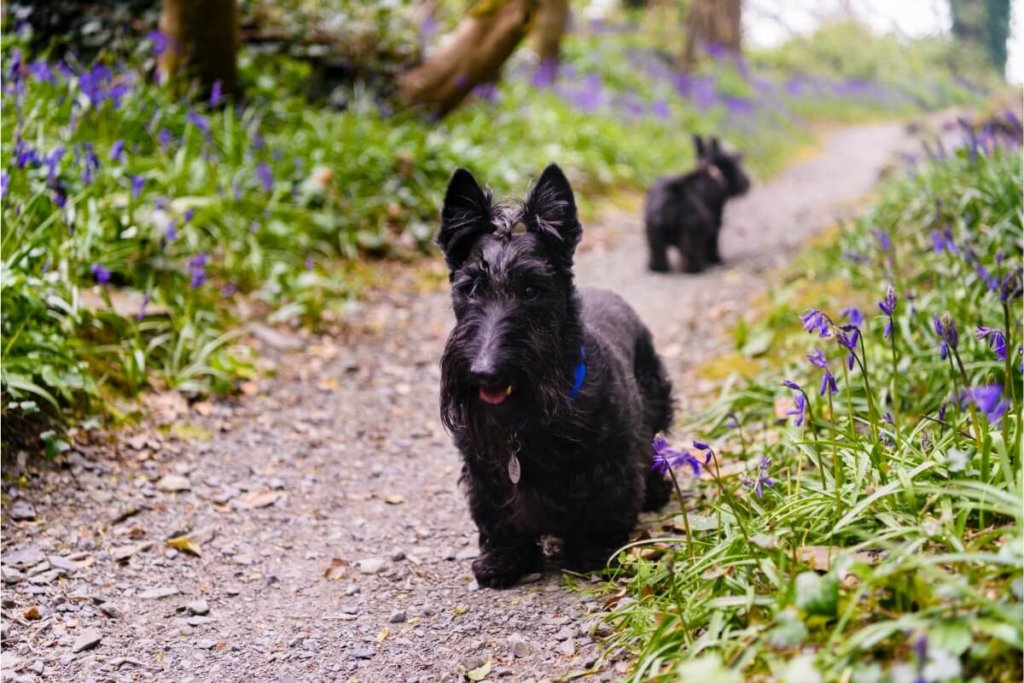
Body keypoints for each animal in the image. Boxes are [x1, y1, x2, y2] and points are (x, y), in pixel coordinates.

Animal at [436, 163, 675, 589]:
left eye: (532, 290)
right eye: (470, 288)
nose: (485, 372)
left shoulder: (610, 462)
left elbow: (604, 509)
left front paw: (594, 553)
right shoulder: (484, 471)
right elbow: (498, 519)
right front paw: (503, 562)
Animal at [643, 133, 749, 272]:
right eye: (735, 162)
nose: (747, 183)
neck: (712, 174)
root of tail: (674, 191)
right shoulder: (715, 223)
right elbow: (713, 243)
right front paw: (716, 259)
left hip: (654, 236)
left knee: (658, 254)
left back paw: (658, 267)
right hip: (691, 234)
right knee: (691, 256)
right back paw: (695, 267)